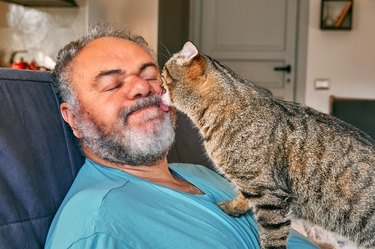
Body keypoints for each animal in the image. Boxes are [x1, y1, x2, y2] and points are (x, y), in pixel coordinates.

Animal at [160, 41, 375, 248]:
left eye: (163, 75)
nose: (157, 85)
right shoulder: (252, 183)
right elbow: (243, 196)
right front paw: (234, 207)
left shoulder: (270, 194)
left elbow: (272, 235)